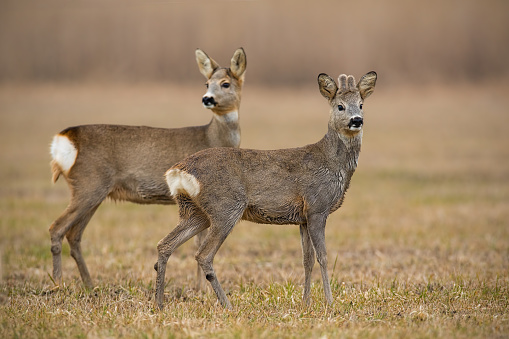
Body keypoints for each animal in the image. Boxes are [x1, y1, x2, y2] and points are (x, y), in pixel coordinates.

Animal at [49, 46, 246, 288]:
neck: (212, 138)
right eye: (207, 83)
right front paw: (201, 289)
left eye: (225, 83)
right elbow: (199, 242)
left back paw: (89, 284)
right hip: (88, 185)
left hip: (93, 192)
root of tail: (65, 138)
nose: (207, 99)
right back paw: (58, 283)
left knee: (74, 235)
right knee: (57, 228)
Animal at [155, 70, 378, 310]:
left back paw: (159, 302)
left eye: (361, 104)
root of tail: (177, 170)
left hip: (195, 211)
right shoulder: (317, 207)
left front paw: (306, 302)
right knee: (203, 255)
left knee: (165, 244)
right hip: (225, 207)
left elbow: (307, 260)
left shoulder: (303, 217)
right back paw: (227, 305)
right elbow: (323, 257)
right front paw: (329, 302)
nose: (357, 120)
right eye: (340, 106)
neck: (332, 163)